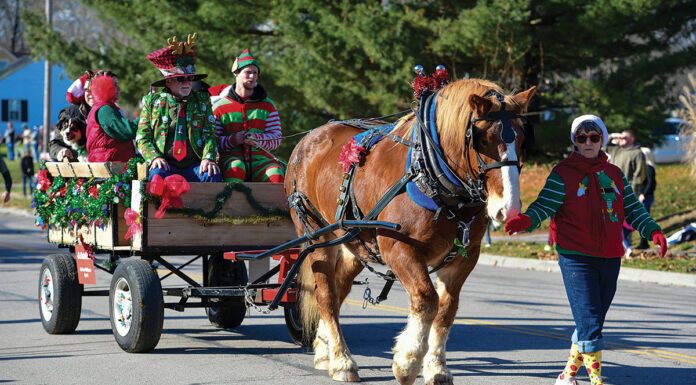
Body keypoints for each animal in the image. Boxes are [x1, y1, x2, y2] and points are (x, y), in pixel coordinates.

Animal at [286, 77, 536, 380]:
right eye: (484, 140)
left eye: (520, 140)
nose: (508, 208)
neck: (431, 175)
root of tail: (308, 138)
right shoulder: (399, 248)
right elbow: (427, 299)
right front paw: (408, 361)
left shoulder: (465, 257)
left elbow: (446, 309)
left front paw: (436, 367)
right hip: (315, 235)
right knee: (325, 295)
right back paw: (342, 361)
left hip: (353, 242)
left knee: (339, 289)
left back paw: (326, 352)